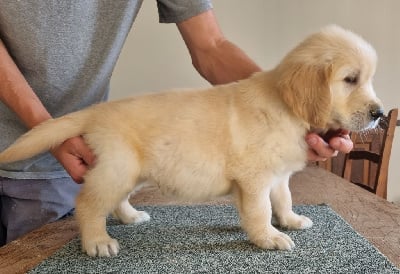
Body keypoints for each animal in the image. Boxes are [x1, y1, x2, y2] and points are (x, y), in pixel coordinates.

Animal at [0, 25, 382, 256]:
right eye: (350, 79)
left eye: (366, 79)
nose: (379, 113)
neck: (285, 106)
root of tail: (94, 112)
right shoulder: (255, 177)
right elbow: (260, 210)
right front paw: (268, 237)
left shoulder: (276, 174)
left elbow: (283, 199)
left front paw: (290, 220)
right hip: (117, 168)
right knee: (88, 204)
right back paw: (97, 241)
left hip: (130, 171)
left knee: (116, 200)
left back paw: (131, 217)